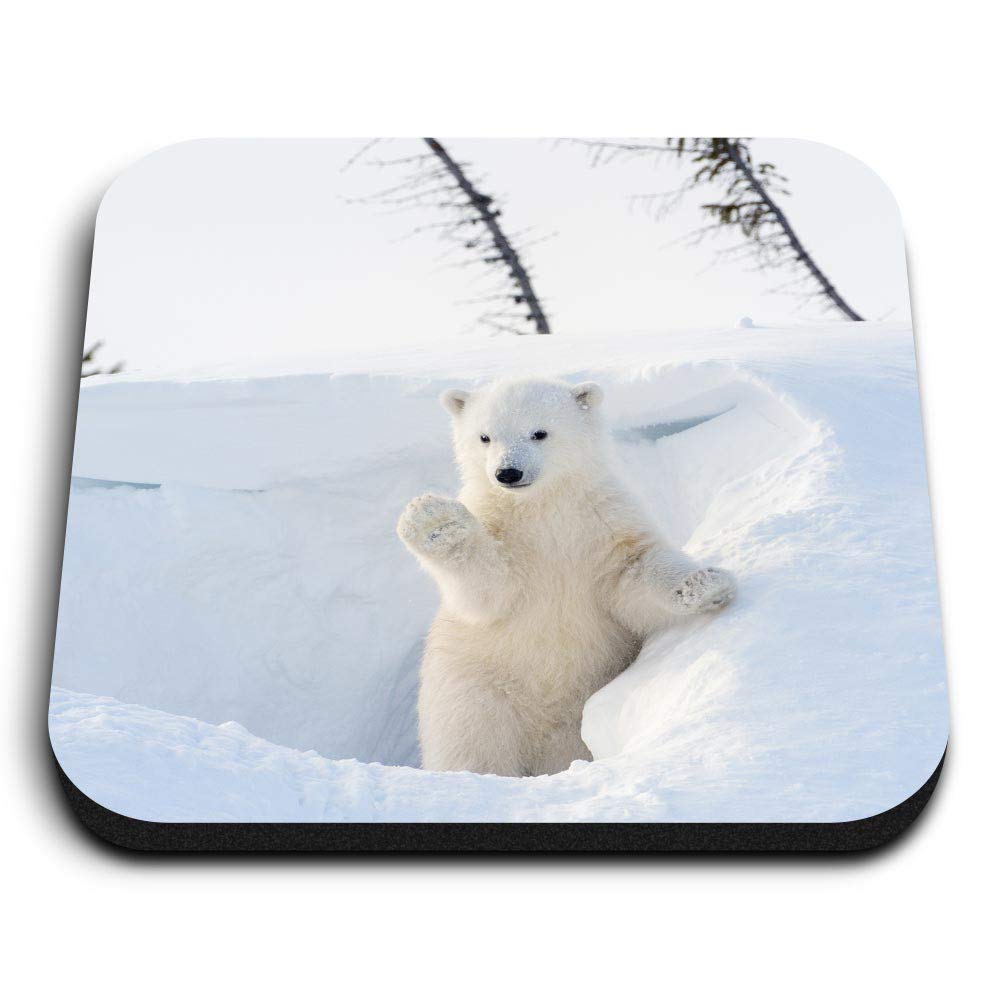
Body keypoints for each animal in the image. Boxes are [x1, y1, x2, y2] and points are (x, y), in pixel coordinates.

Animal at [397, 377, 734, 777]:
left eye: (539, 432)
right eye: (484, 437)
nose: (507, 473)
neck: (542, 507)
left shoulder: (603, 522)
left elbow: (632, 574)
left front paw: (704, 585)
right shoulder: (503, 533)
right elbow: (489, 592)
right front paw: (435, 522)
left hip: (575, 715)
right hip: (475, 691)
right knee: (473, 746)